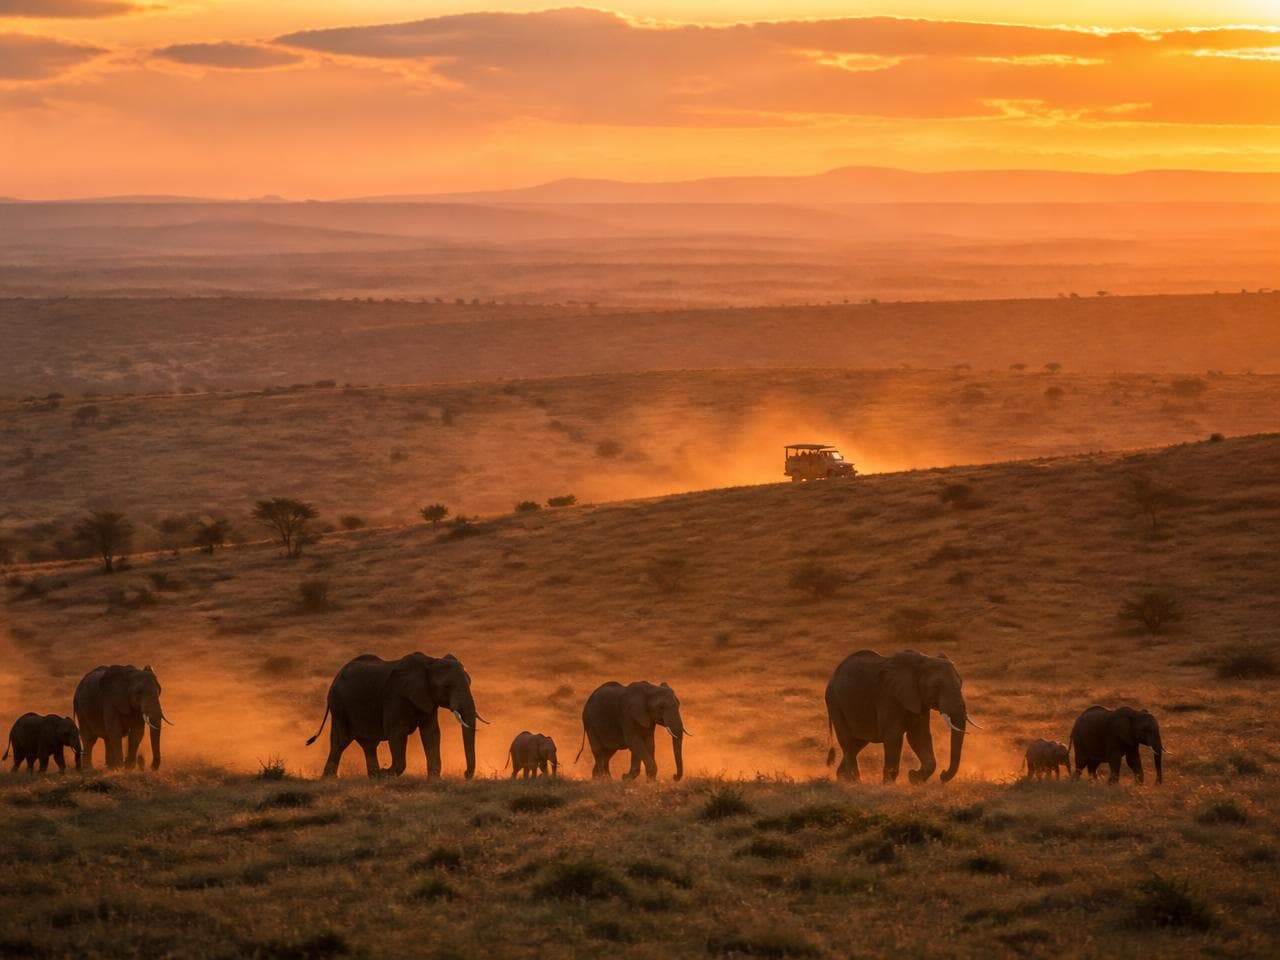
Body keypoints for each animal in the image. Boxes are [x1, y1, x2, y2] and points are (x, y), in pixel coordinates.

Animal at [306, 652, 485, 779]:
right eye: (447, 686)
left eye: (470, 682)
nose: (465, 774)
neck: (430, 661)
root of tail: (336, 676)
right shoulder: (395, 697)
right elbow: (397, 734)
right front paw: (387, 773)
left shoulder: (426, 698)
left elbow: (432, 734)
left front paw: (434, 780)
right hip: (339, 704)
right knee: (341, 741)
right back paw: (331, 779)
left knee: (368, 744)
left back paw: (374, 777)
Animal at [825, 650, 977, 784]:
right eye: (936, 686)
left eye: (961, 683)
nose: (943, 775)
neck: (921, 662)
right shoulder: (889, 697)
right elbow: (894, 736)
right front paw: (887, 785)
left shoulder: (918, 700)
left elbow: (919, 737)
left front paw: (914, 779)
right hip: (835, 703)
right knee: (847, 740)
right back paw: (855, 782)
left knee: (858, 742)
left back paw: (843, 779)